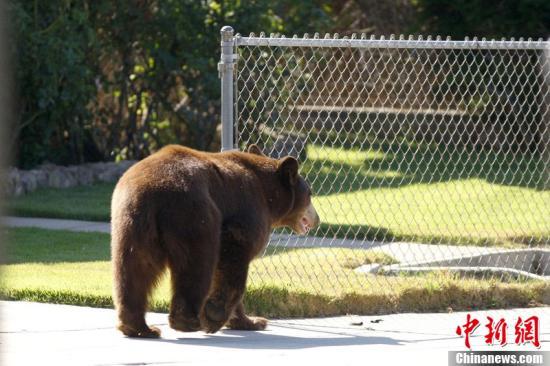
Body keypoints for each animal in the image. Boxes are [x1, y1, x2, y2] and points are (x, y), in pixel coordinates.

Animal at [110, 144, 322, 338]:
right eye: (310, 193)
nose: (317, 219)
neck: (269, 196)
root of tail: (152, 191)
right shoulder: (247, 211)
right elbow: (233, 256)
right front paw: (216, 315)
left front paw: (252, 321)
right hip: (194, 214)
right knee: (197, 263)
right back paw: (188, 321)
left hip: (131, 224)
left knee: (134, 269)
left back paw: (139, 327)